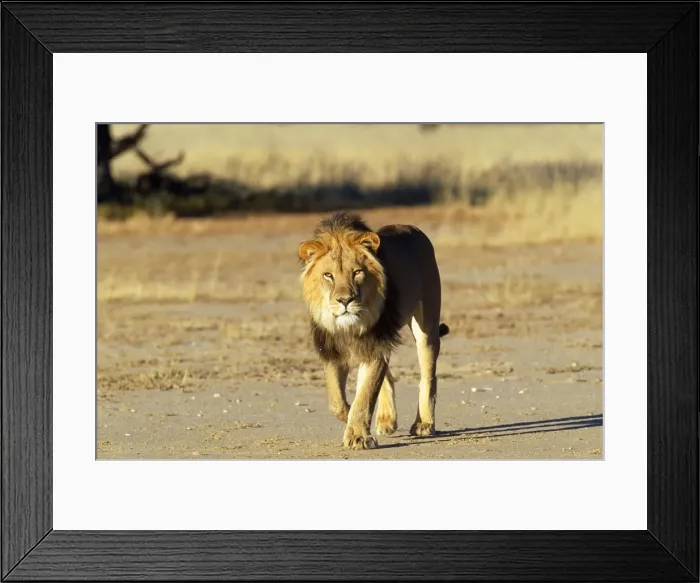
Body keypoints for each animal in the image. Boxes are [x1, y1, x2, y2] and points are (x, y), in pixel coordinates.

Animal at [298, 211, 449, 450]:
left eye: (357, 272)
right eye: (328, 276)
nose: (345, 300)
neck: (348, 326)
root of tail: (413, 228)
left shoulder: (376, 346)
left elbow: (365, 395)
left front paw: (358, 436)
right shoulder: (333, 350)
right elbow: (337, 402)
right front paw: (352, 421)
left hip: (426, 326)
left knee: (428, 376)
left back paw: (423, 424)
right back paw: (386, 420)